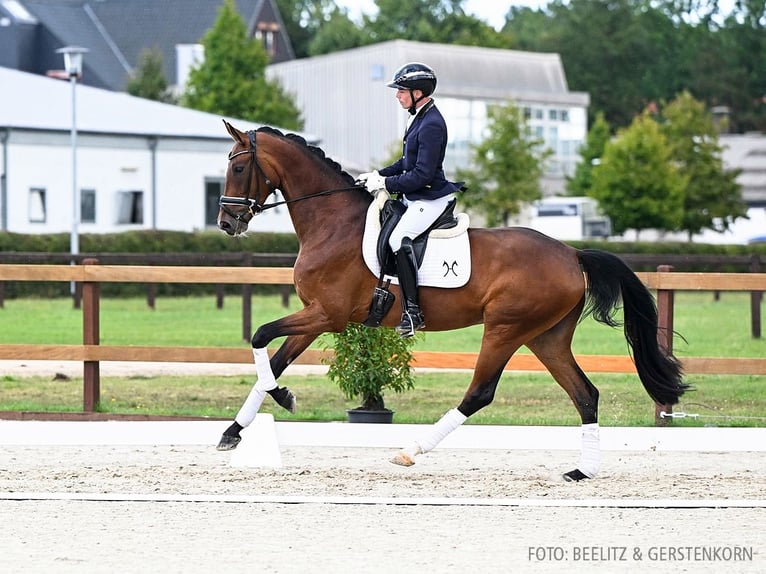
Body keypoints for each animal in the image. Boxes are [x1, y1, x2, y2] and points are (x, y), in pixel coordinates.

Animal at [216, 120, 688, 482]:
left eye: (238, 166)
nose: (226, 222)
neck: (333, 223)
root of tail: (572, 254)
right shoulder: (317, 316)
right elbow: (274, 360)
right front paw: (236, 429)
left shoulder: (326, 315)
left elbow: (260, 336)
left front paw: (280, 400)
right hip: (546, 336)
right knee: (585, 394)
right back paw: (581, 471)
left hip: (505, 328)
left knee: (479, 393)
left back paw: (411, 451)